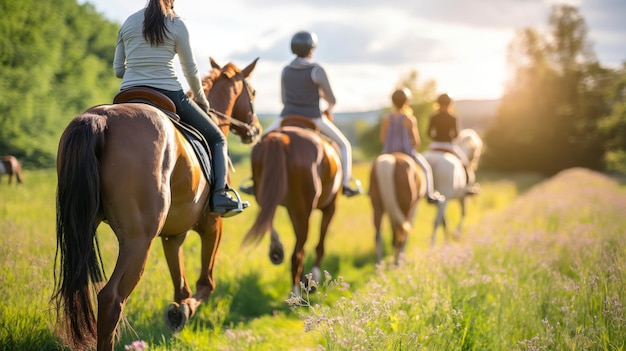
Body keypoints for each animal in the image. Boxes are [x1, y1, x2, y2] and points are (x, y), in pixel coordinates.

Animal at [51, 58, 260, 351]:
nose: (255, 130)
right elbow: (206, 284)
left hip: (83, 228)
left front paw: (178, 312)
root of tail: (101, 118)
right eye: (252, 92)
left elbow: (181, 285)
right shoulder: (212, 225)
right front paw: (184, 311)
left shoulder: (173, 235)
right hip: (138, 240)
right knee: (111, 298)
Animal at [243, 119, 342, 296]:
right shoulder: (330, 207)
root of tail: (282, 138)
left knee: (267, 220)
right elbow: (320, 245)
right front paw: (313, 279)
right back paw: (296, 292)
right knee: (298, 253)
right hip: (303, 211)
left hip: (268, 199)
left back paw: (276, 249)